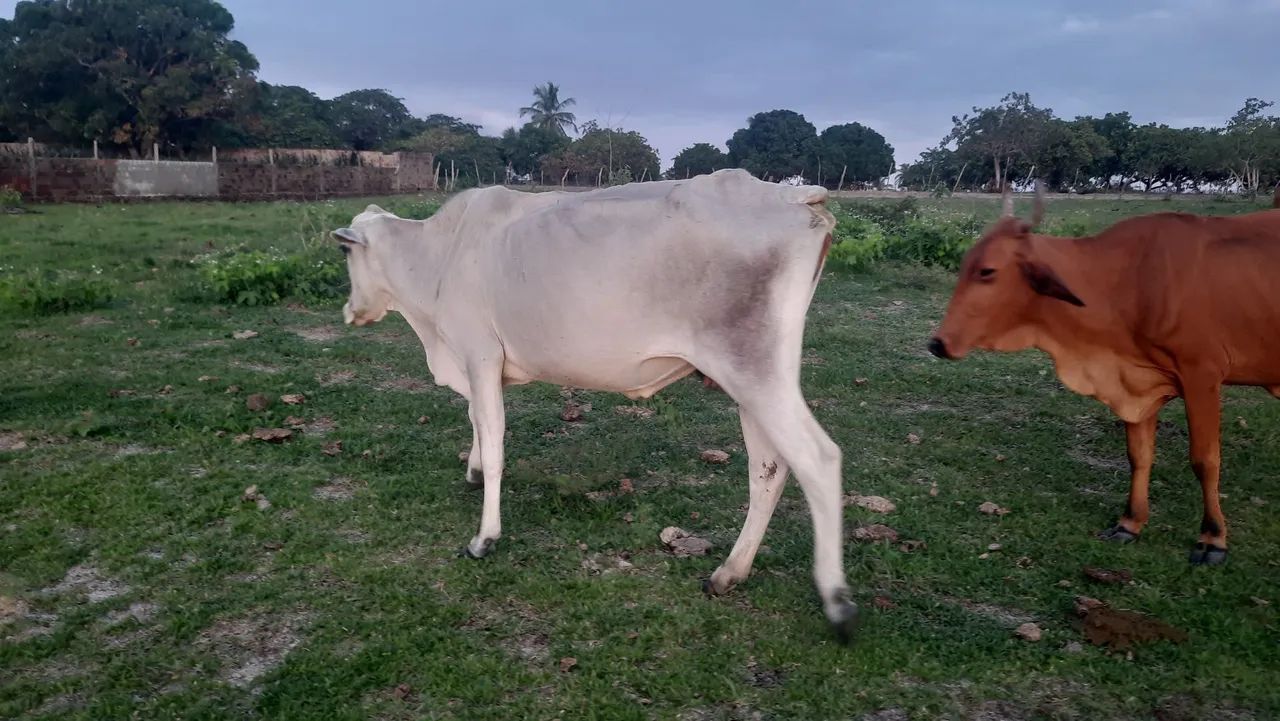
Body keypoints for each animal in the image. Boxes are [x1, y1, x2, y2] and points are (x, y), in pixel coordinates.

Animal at [331, 169, 858, 639]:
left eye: (344, 250)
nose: (348, 311)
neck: (438, 258)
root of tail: (794, 196)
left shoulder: (480, 353)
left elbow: (495, 438)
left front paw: (484, 537)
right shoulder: (479, 365)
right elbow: (477, 422)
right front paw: (473, 470)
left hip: (755, 370)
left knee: (817, 458)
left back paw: (836, 601)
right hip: (752, 380)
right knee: (768, 467)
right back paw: (729, 573)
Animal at [928, 183, 1280, 565]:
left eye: (988, 271)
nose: (937, 343)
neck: (1128, 282)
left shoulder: (1202, 376)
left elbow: (1205, 460)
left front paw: (1213, 538)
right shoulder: (1137, 383)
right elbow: (1139, 456)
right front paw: (1129, 523)